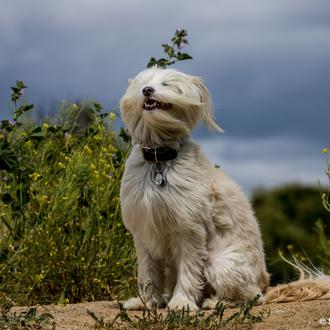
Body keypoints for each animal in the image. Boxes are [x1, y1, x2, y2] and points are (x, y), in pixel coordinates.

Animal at [118, 67, 330, 310]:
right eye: (141, 83)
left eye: (166, 84)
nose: (147, 90)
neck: (159, 159)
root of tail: (266, 286)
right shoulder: (144, 232)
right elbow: (147, 272)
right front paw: (145, 302)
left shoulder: (189, 230)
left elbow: (188, 270)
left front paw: (181, 303)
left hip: (220, 264)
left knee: (250, 296)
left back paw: (214, 302)